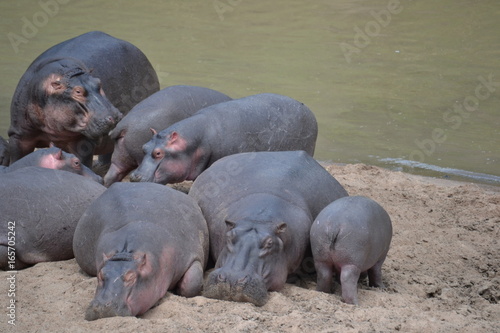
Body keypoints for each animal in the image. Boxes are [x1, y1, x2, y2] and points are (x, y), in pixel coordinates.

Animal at [8, 30, 159, 167]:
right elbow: (15, 159)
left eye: (99, 82)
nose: (115, 117)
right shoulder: (19, 136)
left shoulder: (83, 143)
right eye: (78, 91)